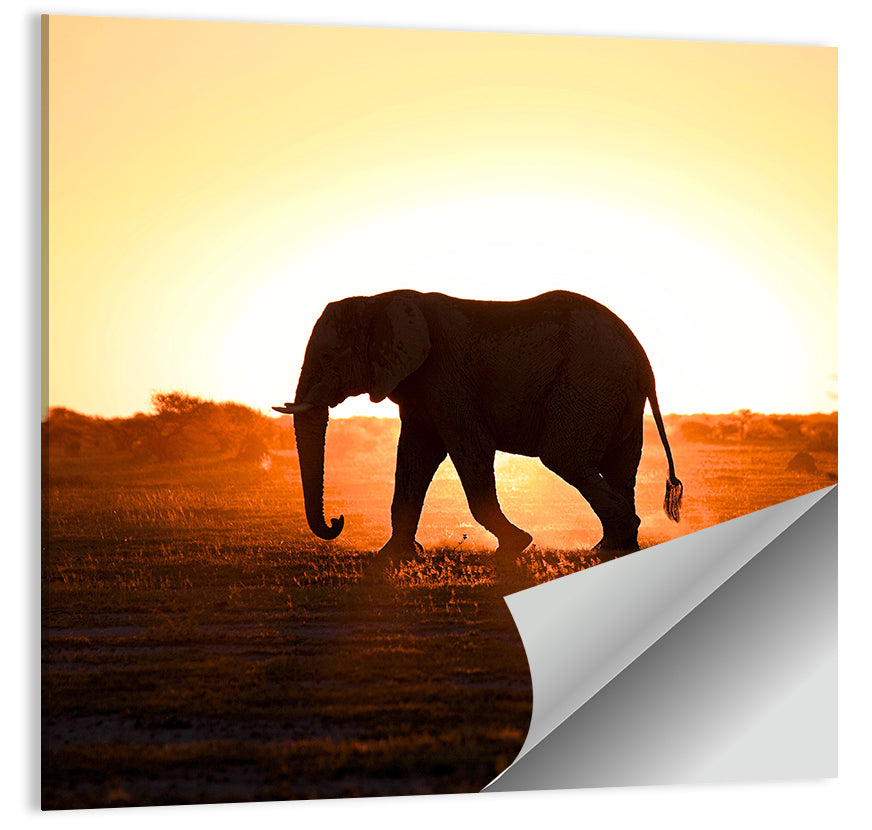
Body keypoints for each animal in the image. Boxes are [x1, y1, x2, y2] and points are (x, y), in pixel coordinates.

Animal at [274, 289, 682, 569]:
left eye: (329, 357)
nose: (337, 520)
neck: (380, 301)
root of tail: (644, 360)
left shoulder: (447, 379)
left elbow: (468, 449)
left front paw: (516, 545)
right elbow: (415, 458)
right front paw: (393, 556)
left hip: (590, 382)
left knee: (564, 456)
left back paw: (615, 543)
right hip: (614, 394)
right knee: (619, 467)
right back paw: (616, 548)